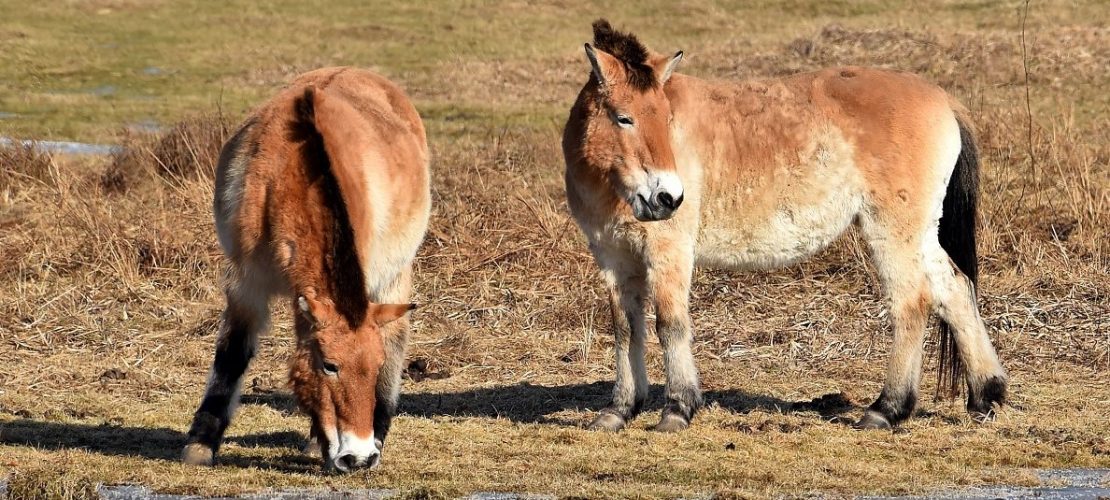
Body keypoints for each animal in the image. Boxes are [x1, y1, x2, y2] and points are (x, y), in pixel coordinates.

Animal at [181, 67, 430, 472]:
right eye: (329, 365)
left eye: (374, 366)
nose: (359, 457)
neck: (290, 175)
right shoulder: (247, 282)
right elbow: (232, 354)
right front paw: (201, 443)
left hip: (395, 276)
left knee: (396, 338)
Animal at [562, 20, 1008, 433]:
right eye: (624, 118)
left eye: (667, 118)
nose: (667, 197)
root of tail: (944, 99)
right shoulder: (615, 257)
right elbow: (626, 328)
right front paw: (619, 411)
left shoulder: (668, 252)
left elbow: (670, 325)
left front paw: (677, 410)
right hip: (921, 233)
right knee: (954, 290)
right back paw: (986, 396)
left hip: (894, 231)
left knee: (912, 302)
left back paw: (886, 410)